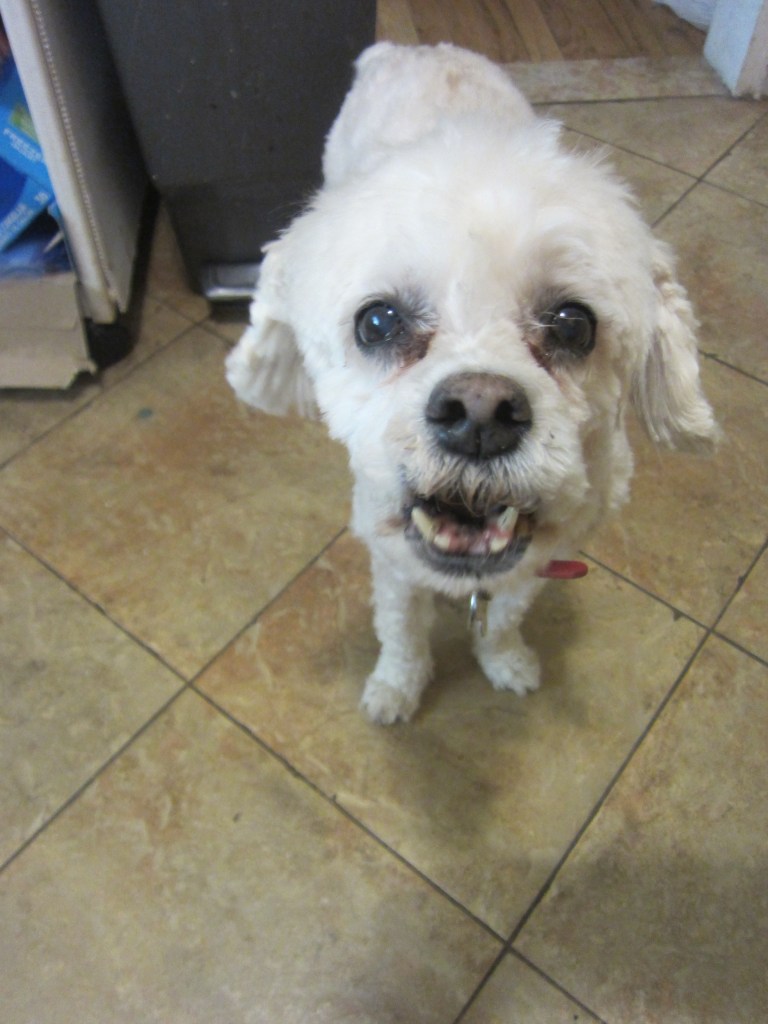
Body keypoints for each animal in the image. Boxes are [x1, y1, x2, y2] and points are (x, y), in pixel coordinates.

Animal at [226, 42, 717, 724]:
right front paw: (396, 688)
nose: (480, 414)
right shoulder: (392, 559)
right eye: (377, 321)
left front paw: (505, 661)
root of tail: (414, 48)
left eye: (573, 324)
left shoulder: (536, 561)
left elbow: (506, 616)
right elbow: (401, 629)